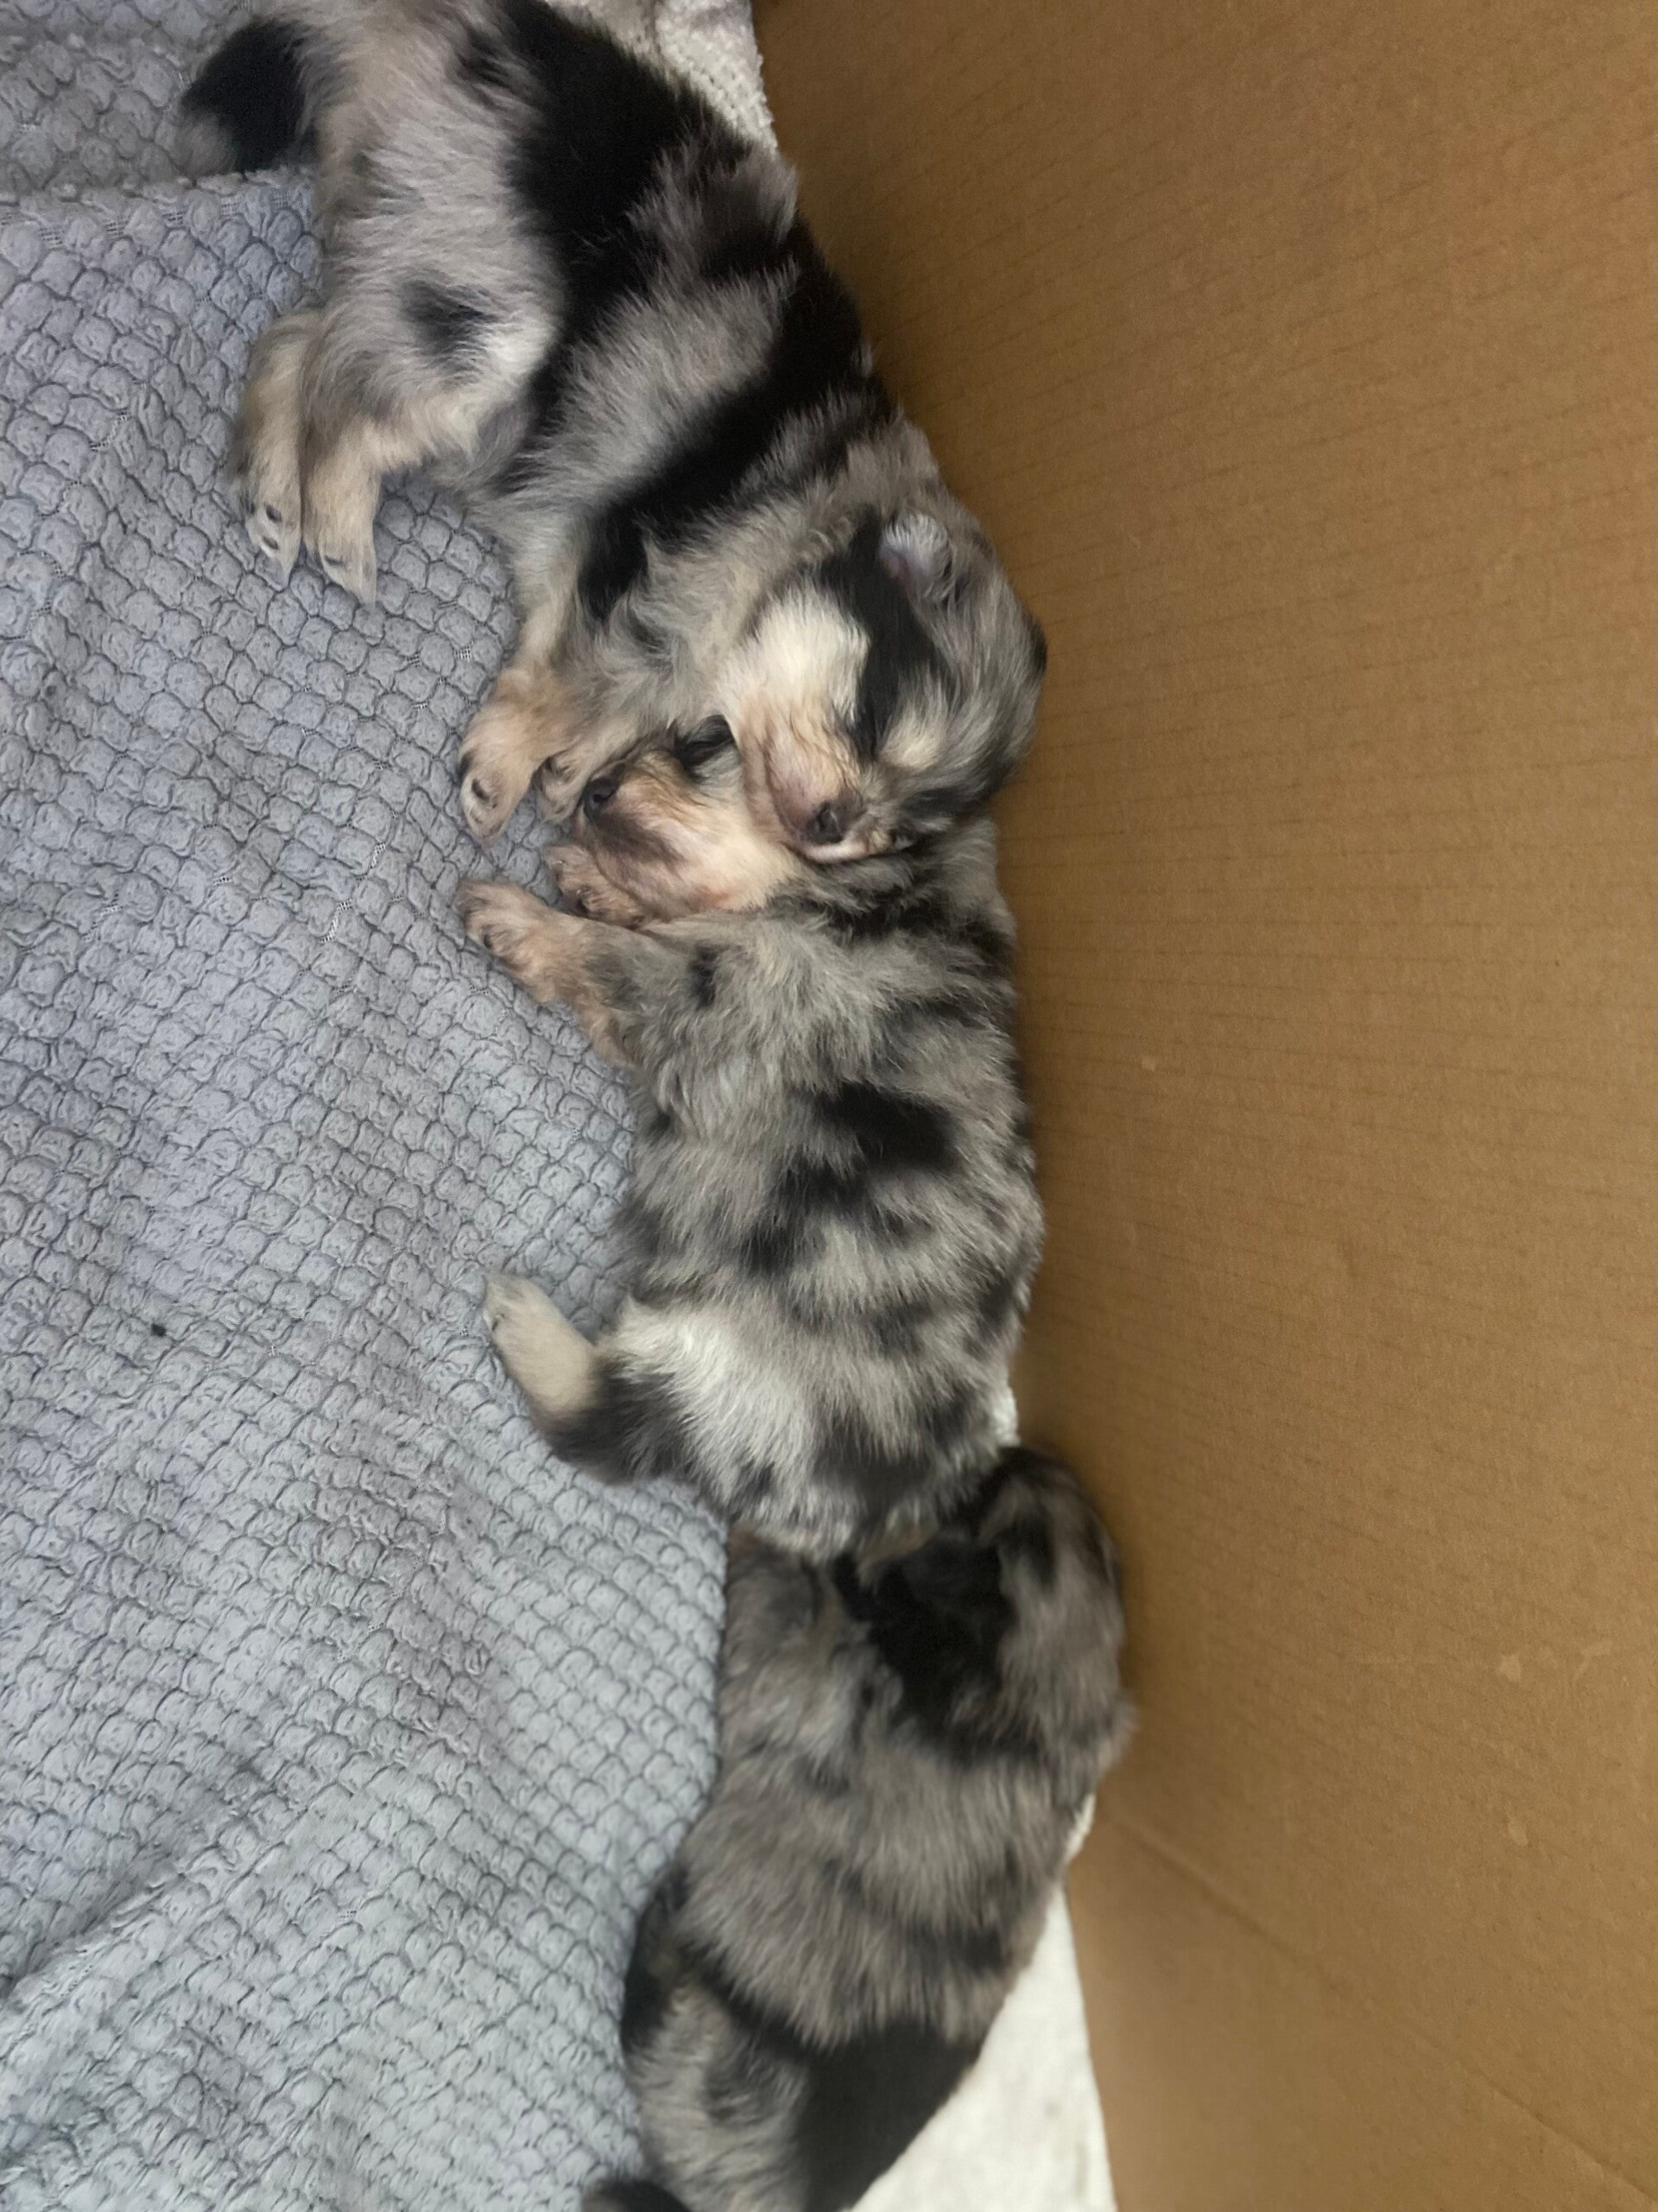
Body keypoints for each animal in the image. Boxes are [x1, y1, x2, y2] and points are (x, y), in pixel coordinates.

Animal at [180, 1, 1046, 862]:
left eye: (900, 832)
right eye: (872, 715)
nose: (832, 824)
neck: (808, 519)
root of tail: (453, 28)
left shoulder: (609, 580)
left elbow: (602, 694)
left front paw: (568, 770)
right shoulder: (639, 553)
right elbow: (574, 681)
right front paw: (503, 772)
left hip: (408, 283)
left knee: (303, 341)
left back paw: (275, 498)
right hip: (492, 323)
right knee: (347, 397)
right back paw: (336, 523)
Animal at [455, 725, 1043, 1555]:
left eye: (707, 745)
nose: (594, 789)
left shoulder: (717, 987)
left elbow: (607, 955)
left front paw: (522, 916)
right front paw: (595, 879)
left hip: (721, 1365)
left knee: (610, 1412)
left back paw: (518, 1310)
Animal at [586, 1446, 1132, 2212]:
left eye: (993, 1502)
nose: (1012, 1450)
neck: (1022, 1718)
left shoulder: (788, 1667)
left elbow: (790, 1590)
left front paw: (785, 1541)